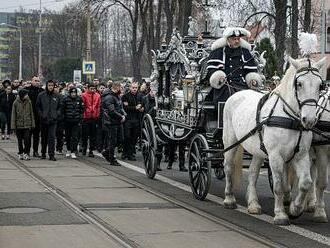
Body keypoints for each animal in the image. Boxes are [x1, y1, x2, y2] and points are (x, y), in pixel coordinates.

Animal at [222, 56, 324, 225]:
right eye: (299, 84)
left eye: (320, 85)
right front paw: (281, 215)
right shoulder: (275, 156)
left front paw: (295, 209)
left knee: (253, 173)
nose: (309, 120)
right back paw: (229, 199)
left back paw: (253, 204)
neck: (290, 118)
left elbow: (305, 182)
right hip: (230, 142)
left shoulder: (301, 155)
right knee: (228, 167)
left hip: (258, 150)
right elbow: (278, 186)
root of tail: (237, 93)